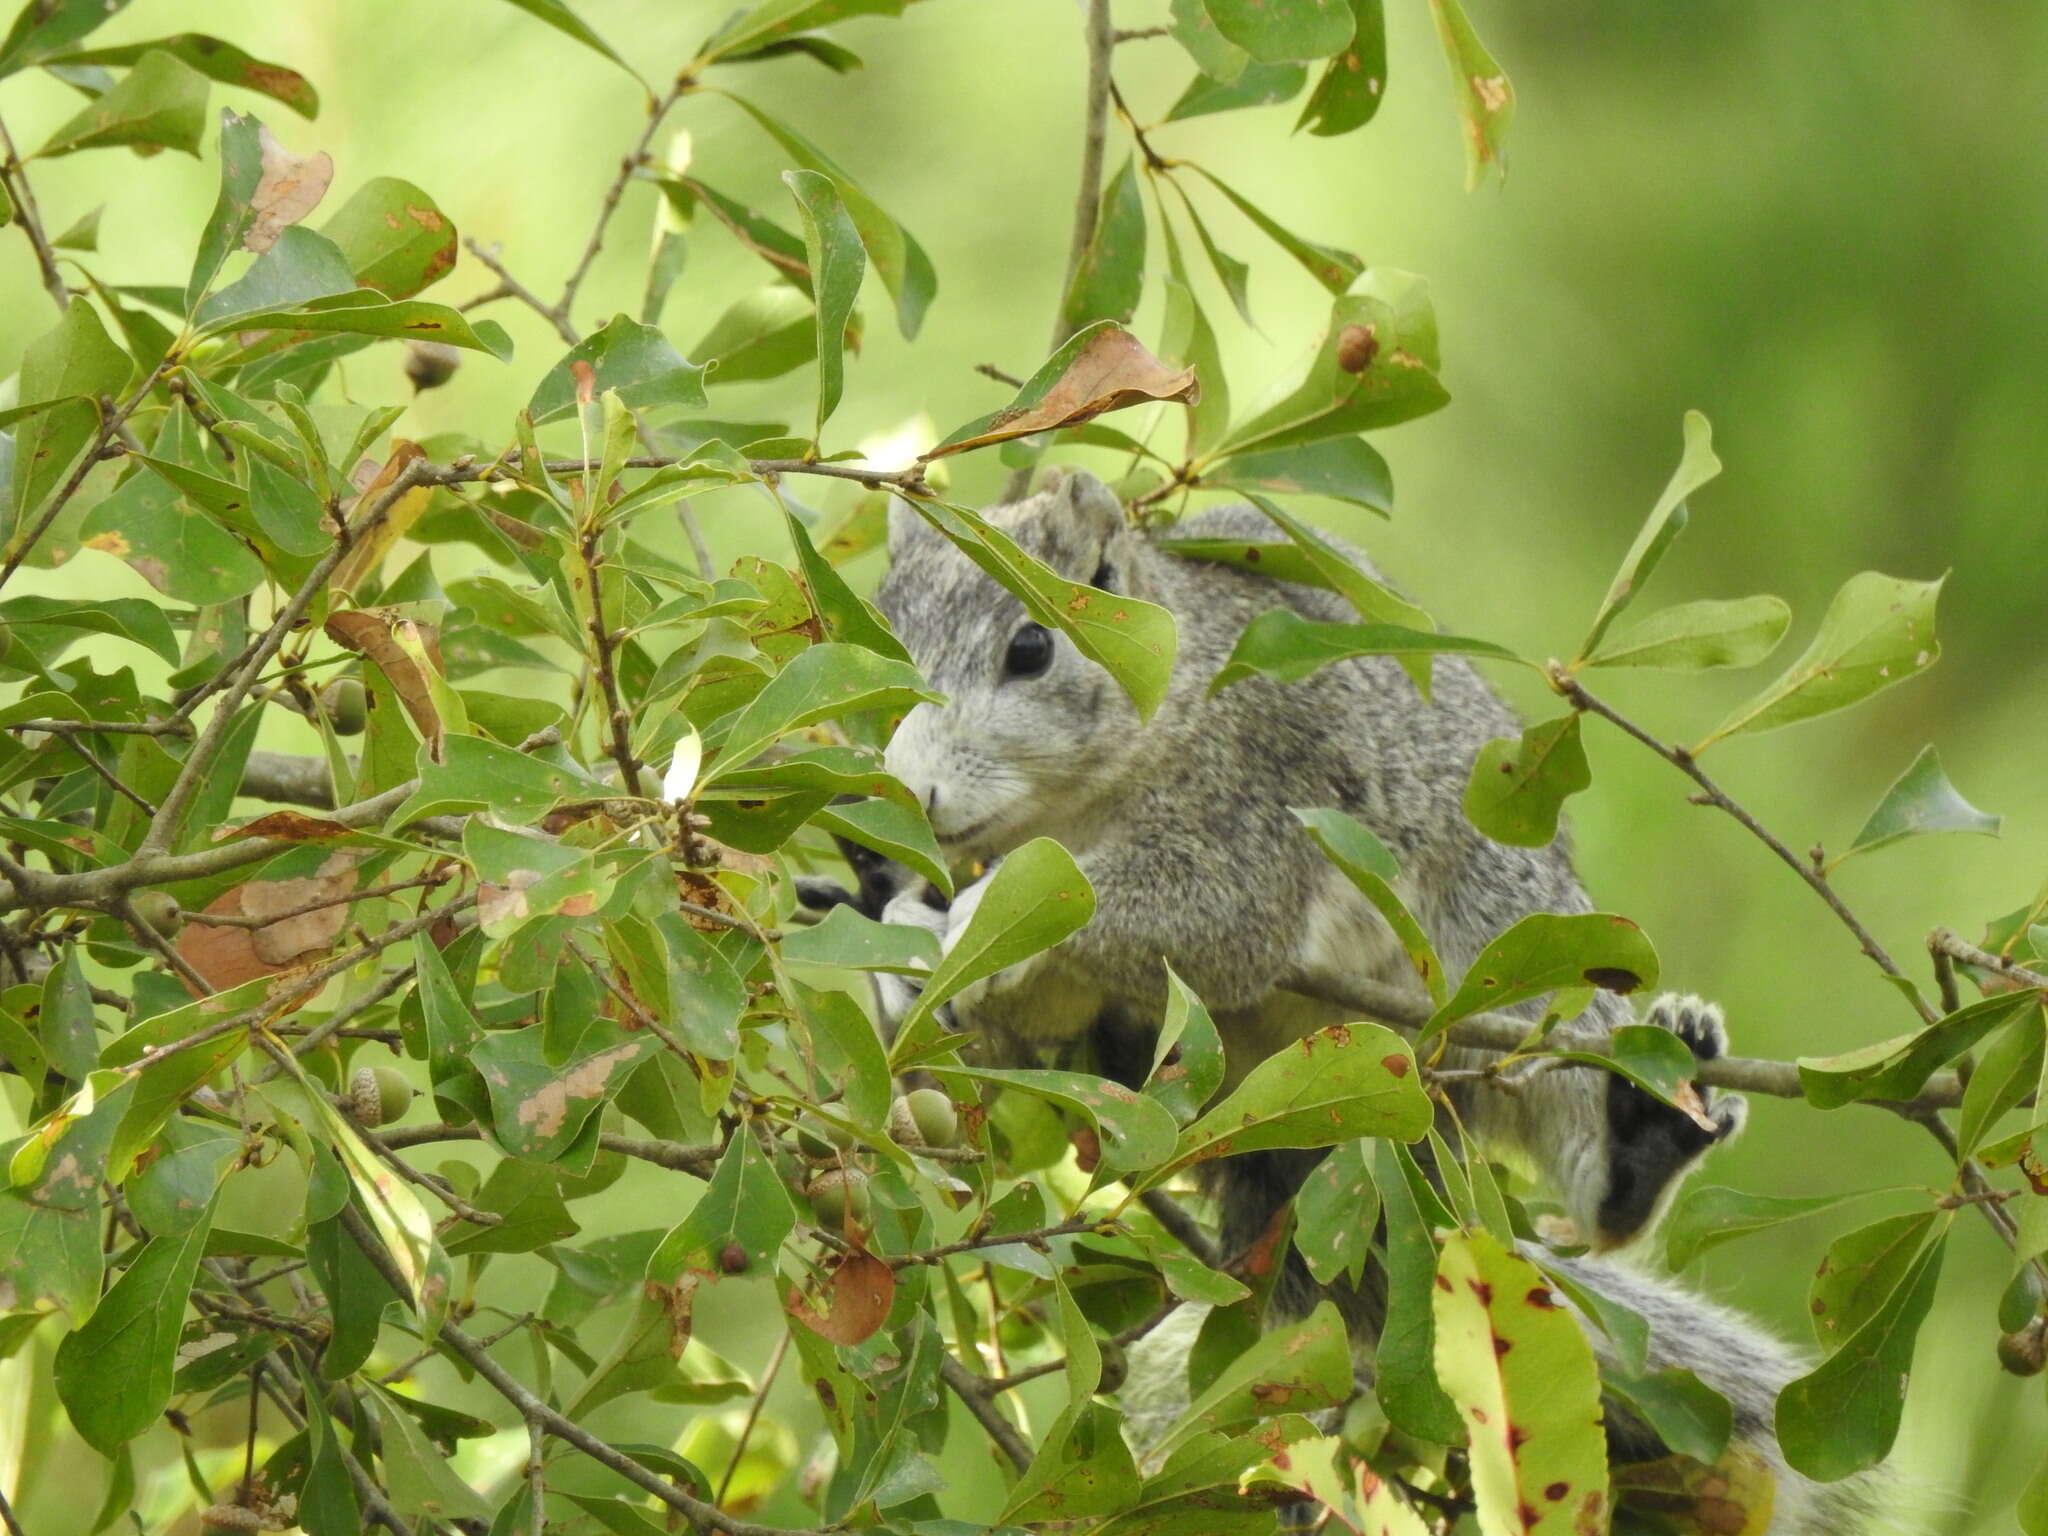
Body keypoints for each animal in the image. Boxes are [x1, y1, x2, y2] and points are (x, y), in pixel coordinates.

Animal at [815, 473, 1884, 1536]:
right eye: (874, 636)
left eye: (1032, 649)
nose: (894, 804)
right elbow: (1023, 1013)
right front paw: (897, 926)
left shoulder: (1253, 791)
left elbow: (1200, 912)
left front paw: (973, 916)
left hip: (1518, 952)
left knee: (1570, 1096)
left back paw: (1641, 1134)